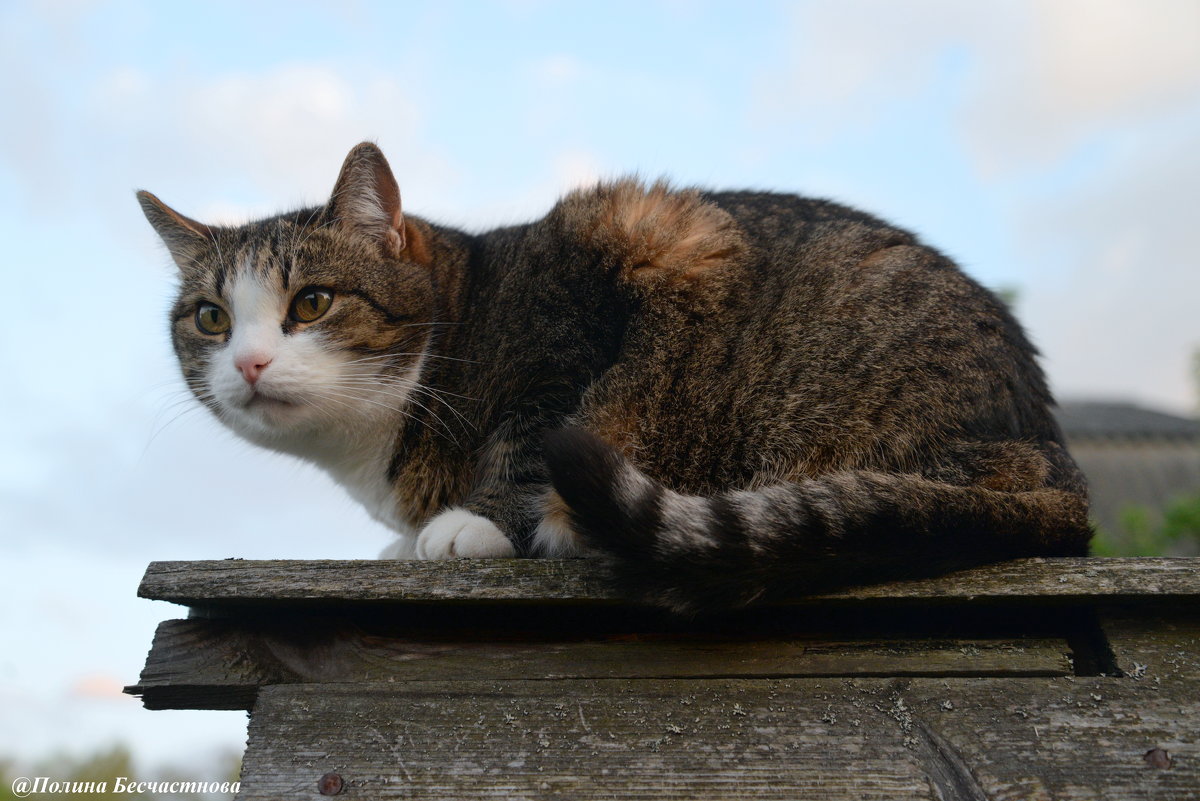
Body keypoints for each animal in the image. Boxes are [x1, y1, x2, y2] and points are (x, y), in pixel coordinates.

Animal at [138, 139, 1089, 613]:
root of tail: (1057, 460)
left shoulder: (596, 287)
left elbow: (529, 438)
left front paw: (472, 525)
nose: (250, 361)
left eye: (313, 301)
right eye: (211, 318)